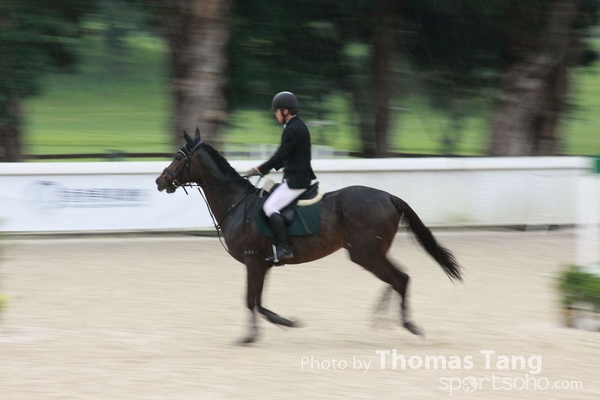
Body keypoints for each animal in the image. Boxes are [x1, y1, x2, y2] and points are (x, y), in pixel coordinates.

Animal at [155, 128, 463, 344]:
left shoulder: (254, 262)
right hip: (372, 252)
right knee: (396, 278)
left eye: (179, 157)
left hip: (365, 254)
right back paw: (384, 319)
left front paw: (259, 333)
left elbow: (251, 301)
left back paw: (407, 325)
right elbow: (258, 301)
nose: (160, 181)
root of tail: (388, 196)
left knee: (400, 279)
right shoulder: (263, 264)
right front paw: (279, 324)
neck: (237, 203)